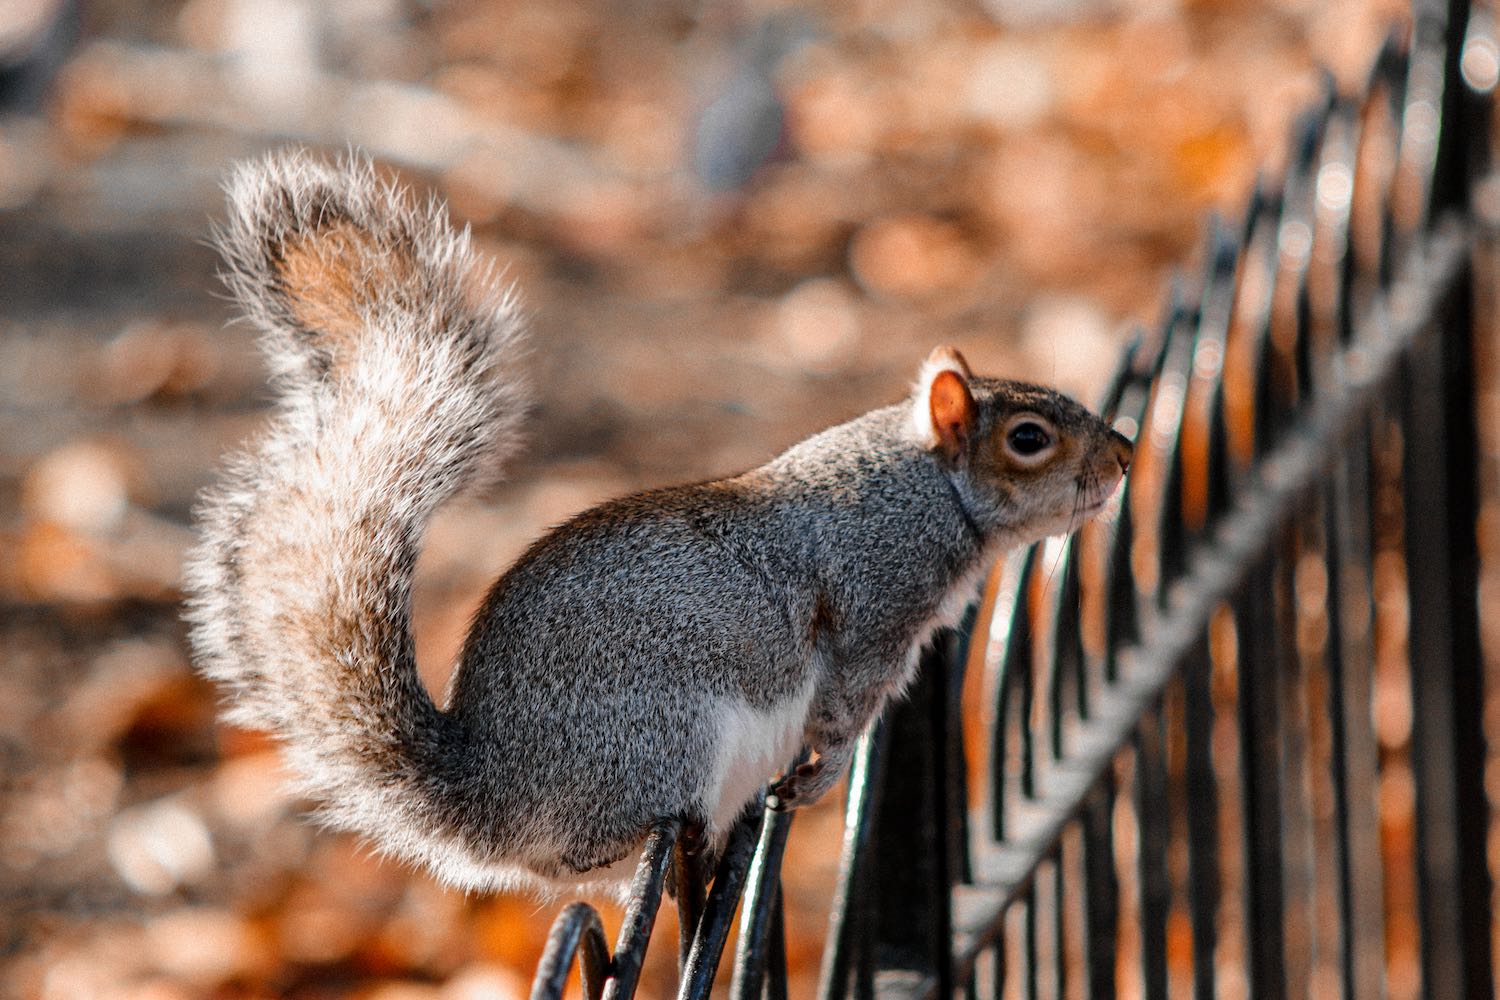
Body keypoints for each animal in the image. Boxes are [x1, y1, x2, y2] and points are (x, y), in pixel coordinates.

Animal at [184, 148, 1128, 899]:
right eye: (1030, 438)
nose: (1122, 456)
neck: (928, 486)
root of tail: (494, 797)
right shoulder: (874, 606)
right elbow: (840, 716)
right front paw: (820, 782)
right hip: (666, 736)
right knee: (590, 851)